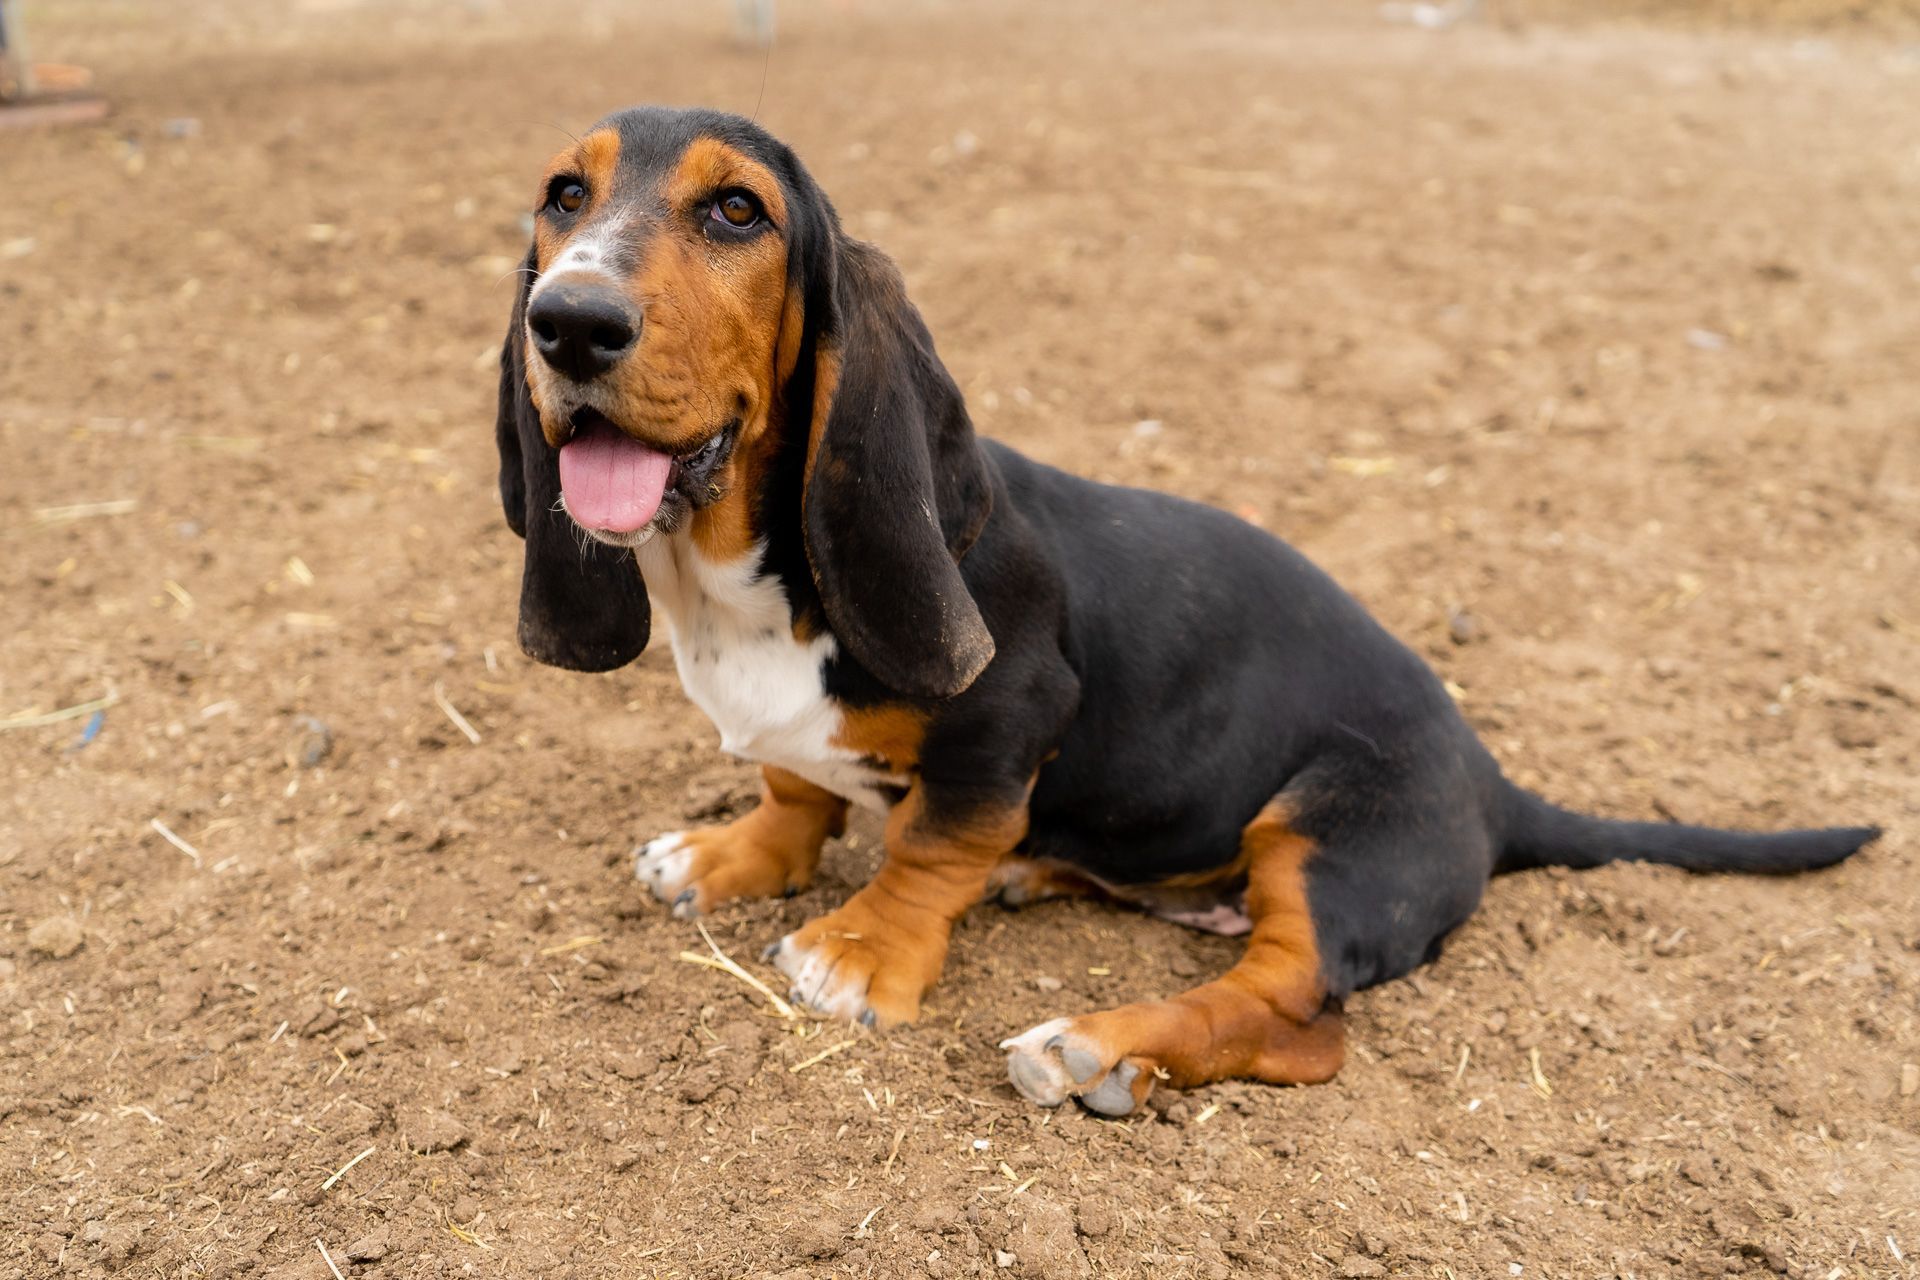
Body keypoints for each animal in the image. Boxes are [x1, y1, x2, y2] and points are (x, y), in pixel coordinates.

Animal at [491, 107, 1873, 1113]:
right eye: (564, 196)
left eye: (738, 210)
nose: (568, 321)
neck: (743, 578)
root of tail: (1493, 786)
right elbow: (793, 785)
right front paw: (730, 855)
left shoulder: (1015, 708)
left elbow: (931, 842)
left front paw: (861, 949)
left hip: (1325, 843)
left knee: (1296, 1018)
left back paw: (1099, 1046)